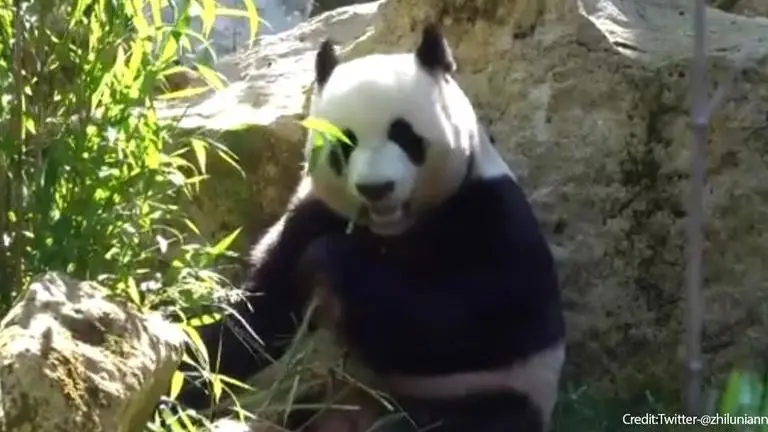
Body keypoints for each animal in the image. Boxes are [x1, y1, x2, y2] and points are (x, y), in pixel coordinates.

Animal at [173, 23, 566, 432]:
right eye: (344, 143)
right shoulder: (312, 214)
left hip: (488, 393)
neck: (392, 229)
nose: (376, 189)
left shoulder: (490, 212)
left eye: (404, 135)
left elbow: (474, 312)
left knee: (478, 418)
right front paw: (186, 384)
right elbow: (259, 313)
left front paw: (329, 261)